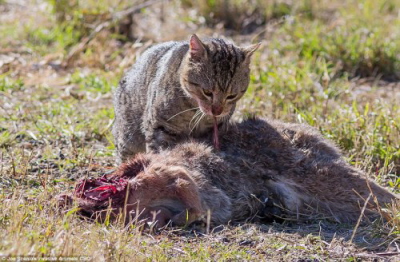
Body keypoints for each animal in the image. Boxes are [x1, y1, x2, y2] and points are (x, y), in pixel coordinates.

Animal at [111, 34, 260, 163]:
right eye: (207, 92)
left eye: (231, 96)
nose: (217, 111)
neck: (194, 110)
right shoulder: (160, 126)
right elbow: (158, 151)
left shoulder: (216, 128)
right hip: (127, 137)